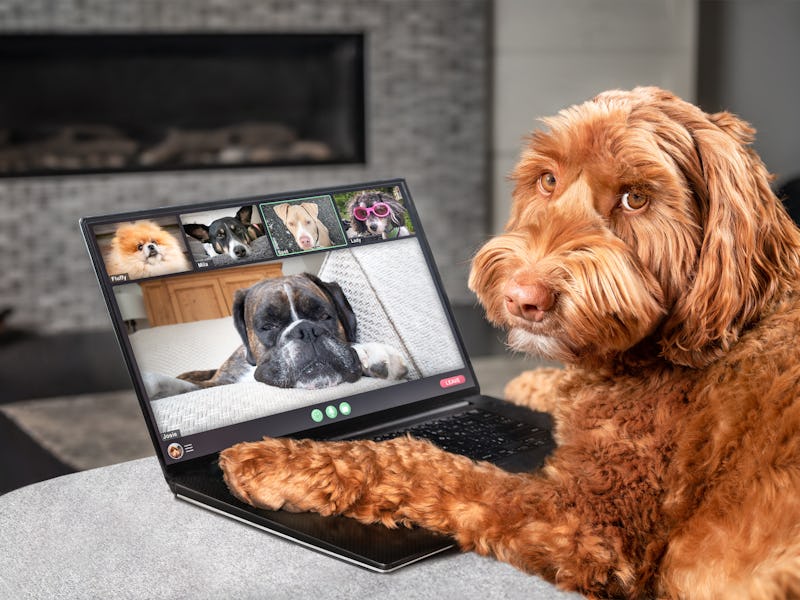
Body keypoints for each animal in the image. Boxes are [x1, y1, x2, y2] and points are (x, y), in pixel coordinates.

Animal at [217, 89, 800, 600]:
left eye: (636, 197)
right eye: (548, 179)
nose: (524, 297)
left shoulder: (585, 522)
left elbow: (425, 465)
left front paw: (274, 461)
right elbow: (558, 392)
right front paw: (533, 384)